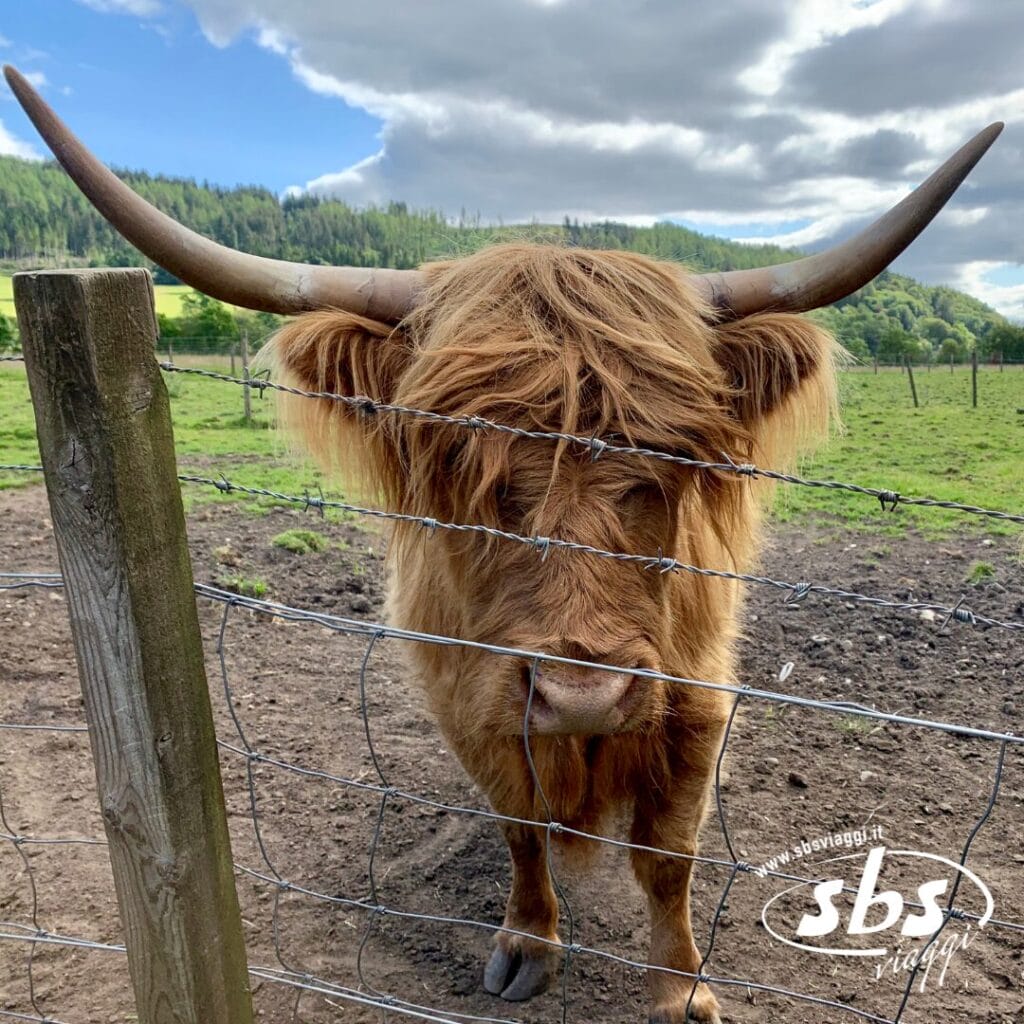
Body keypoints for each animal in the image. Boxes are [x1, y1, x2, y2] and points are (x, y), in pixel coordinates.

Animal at [5, 65, 1001, 1024]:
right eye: (457, 451)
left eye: (676, 453)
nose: (581, 694)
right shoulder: (471, 698)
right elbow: (520, 828)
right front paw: (527, 946)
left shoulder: (695, 701)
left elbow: (669, 858)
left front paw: (680, 991)